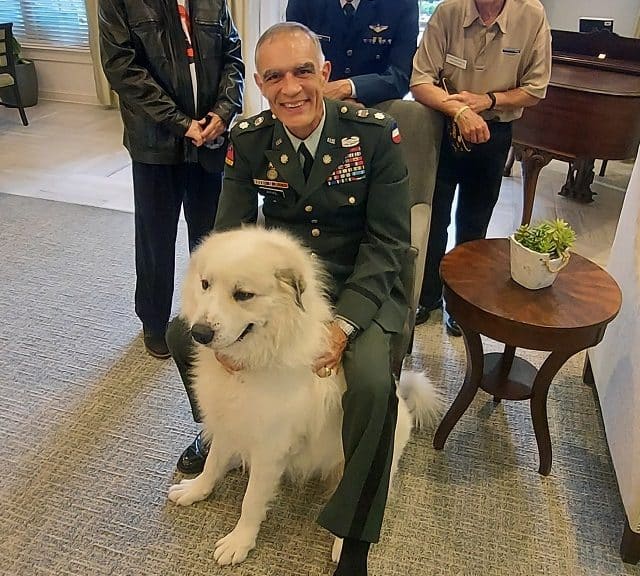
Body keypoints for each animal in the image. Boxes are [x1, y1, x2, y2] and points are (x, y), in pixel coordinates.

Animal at [168, 227, 442, 564]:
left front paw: (239, 542)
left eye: (243, 295)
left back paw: (343, 544)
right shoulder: (229, 419)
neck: (256, 359)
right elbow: (213, 462)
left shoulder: (270, 447)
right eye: (205, 284)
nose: (200, 333)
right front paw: (197, 490)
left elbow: (251, 501)